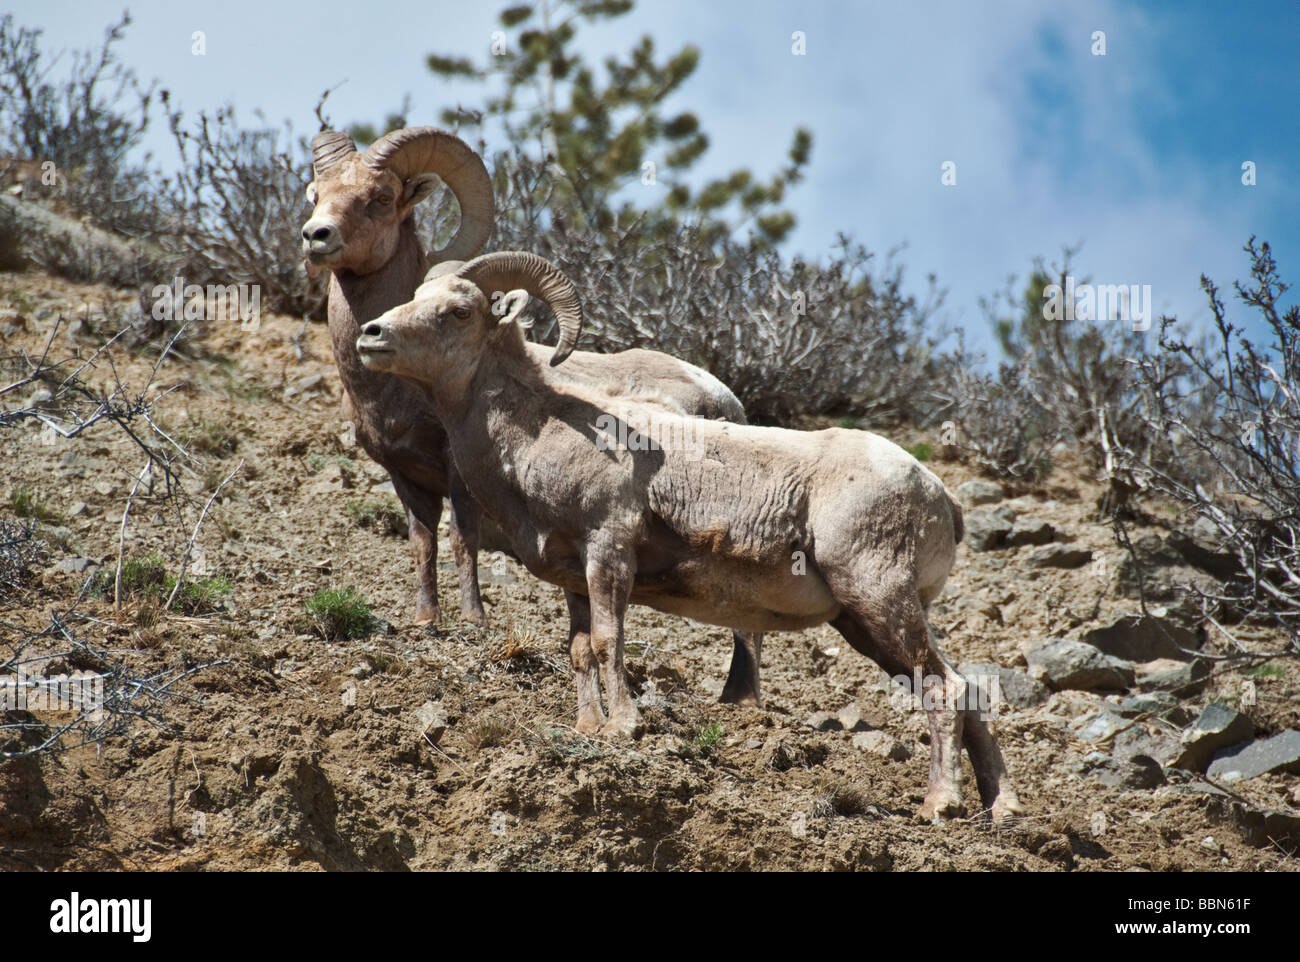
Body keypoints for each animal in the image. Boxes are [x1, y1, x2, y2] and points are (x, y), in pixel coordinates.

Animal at [299, 129, 764, 707]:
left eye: (380, 197)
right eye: (316, 193)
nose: (316, 237)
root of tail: (724, 397)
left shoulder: (460, 476)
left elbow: (462, 540)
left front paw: (473, 620)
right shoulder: (405, 475)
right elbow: (423, 544)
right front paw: (426, 620)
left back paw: (741, 702)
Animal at [353, 249, 1024, 821]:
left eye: (459, 311)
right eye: (418, 296)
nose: (371, 335)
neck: (545, 431)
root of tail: (939, 496)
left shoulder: (609, 553)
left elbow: (608, 641)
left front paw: (623, 727)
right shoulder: (574, 578)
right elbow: (579, 650)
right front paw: (588, 729)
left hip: (880, 601)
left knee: (943, 688)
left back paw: (940, 805)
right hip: (864, 621)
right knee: (961, 690)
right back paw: (1001, 810)